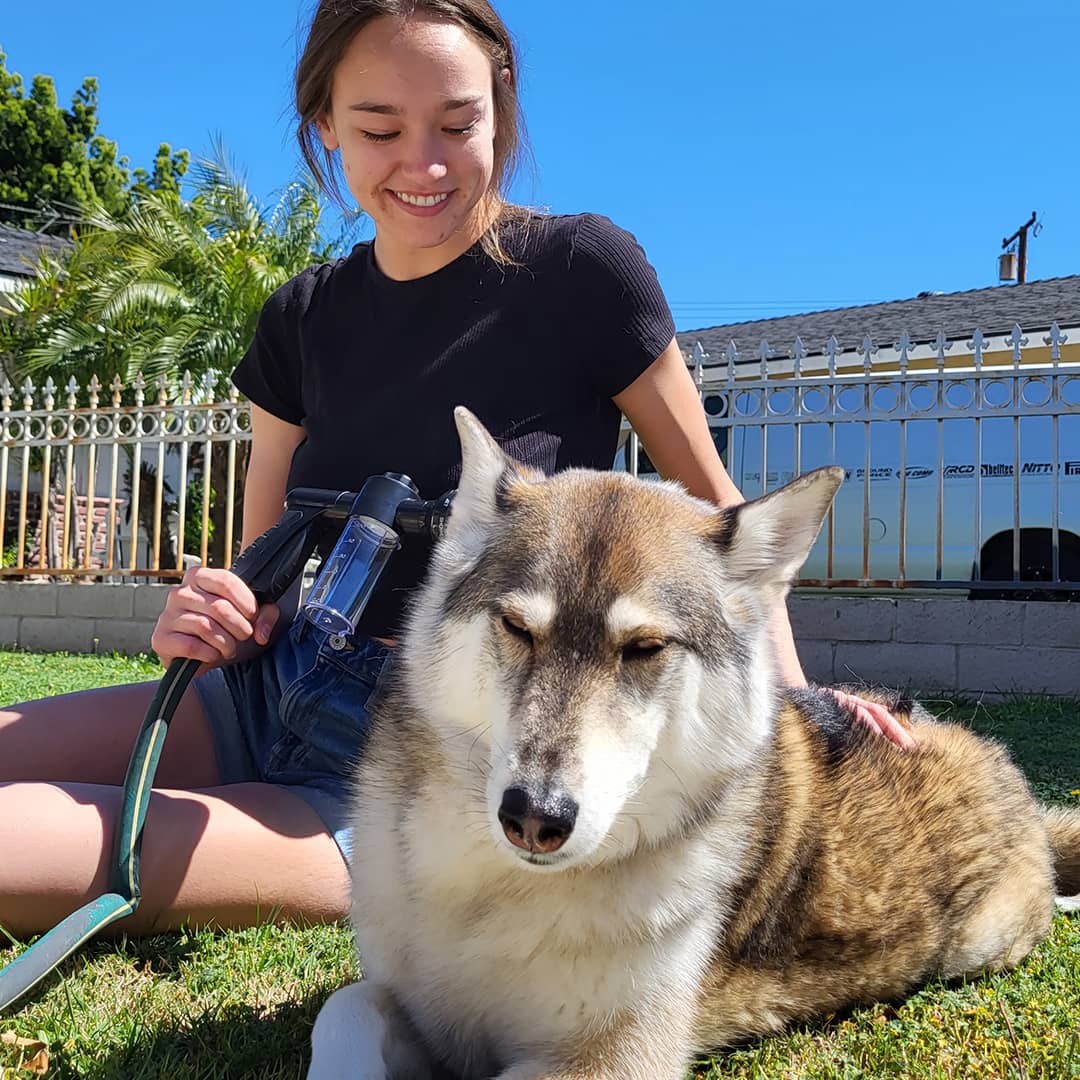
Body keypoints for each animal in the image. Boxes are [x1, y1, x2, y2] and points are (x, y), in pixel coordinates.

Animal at [306, 406, 1080, 1080]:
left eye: (645, 647)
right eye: (519, 628)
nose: (534, 817)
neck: (496, 895)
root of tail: (998, 760)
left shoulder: (611, 1059)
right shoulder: (410, 1002)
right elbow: (344, 1010)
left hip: (983, 944)